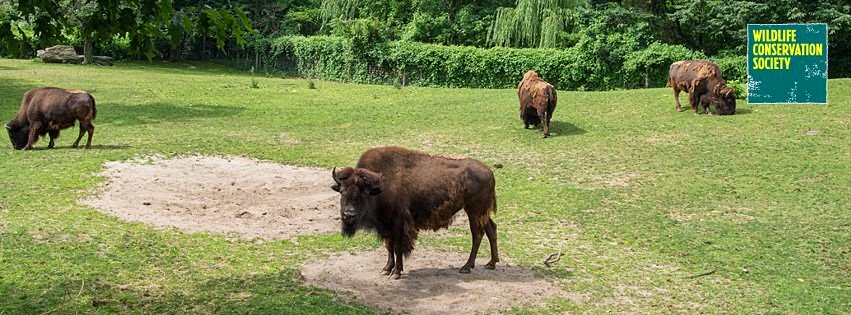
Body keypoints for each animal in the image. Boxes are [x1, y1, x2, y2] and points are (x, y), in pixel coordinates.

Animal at [332, 147, 500, 280]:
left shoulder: (398, 225)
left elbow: (397, 247)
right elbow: (389, 246)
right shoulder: (387, 226)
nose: (348, 215)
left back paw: (466, 267)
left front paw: (396, 273)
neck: (379, 187)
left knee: (477, 234)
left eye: (364, 193)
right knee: (491, 229)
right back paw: (491, 263)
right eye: (342, 191)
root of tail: (490, 172)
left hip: (474, 211)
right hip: (480, 212)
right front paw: (386, 269)